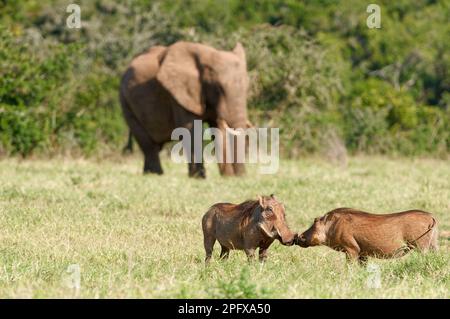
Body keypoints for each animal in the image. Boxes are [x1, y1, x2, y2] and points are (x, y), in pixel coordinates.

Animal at [119, 40, 251, 178]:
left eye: (247, 87)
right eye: (219, 88)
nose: (241, 176)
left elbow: (218, 129)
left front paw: (227, 177)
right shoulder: (177, 94)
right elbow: (190, 129)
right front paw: (198, 178)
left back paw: (149, 174)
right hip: (125, 101)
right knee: (148, 144)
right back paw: (155, 174)